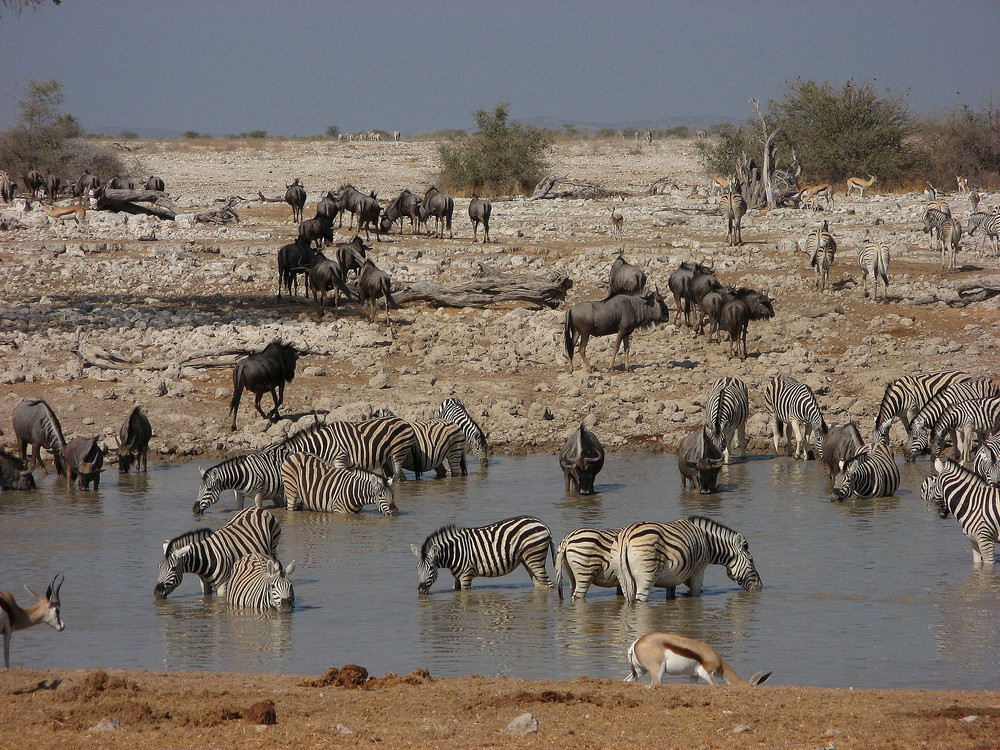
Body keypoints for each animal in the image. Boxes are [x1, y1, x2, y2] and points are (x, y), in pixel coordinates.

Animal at [412, 516, 560, 592]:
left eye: (431, 568)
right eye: (417, 569)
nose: (420, 590)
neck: (455, 552)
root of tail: (542, 523)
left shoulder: (466, 575)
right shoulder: (457, 577)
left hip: (535, 557)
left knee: (549, 584)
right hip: (526, 560)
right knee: (540, 585)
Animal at [608, 516, 764, 604]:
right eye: (751, 561)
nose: (760, 586)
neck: (707, 543)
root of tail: (626, 536)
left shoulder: (672, 577)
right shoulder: (698, 570)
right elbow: (695, 594)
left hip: (622, 576)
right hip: (646, 576)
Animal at [624, 636, 772, 688]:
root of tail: (636, 643)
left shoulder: (693, 676)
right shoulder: (707, 673)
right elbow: (716, 685)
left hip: (640, 671)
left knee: (627, 681)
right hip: (657, 671)